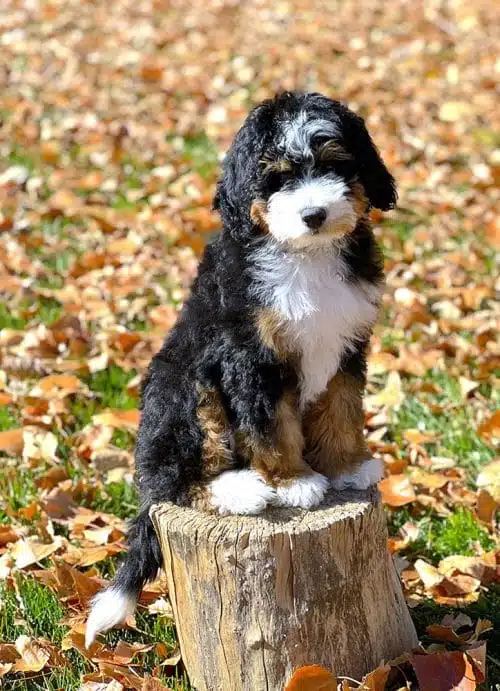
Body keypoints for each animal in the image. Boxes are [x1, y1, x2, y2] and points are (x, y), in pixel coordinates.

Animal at [87, 89, 398, 648]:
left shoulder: (347, 344)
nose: (314, 213)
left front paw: (346, 465)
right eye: (276, 178)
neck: (306, 256)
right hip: (186, 390)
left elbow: (341, 408)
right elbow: (272, 425)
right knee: (177, 480)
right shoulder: (249, 355)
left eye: (336, 165)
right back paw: (243, 488)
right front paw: (294, 482)